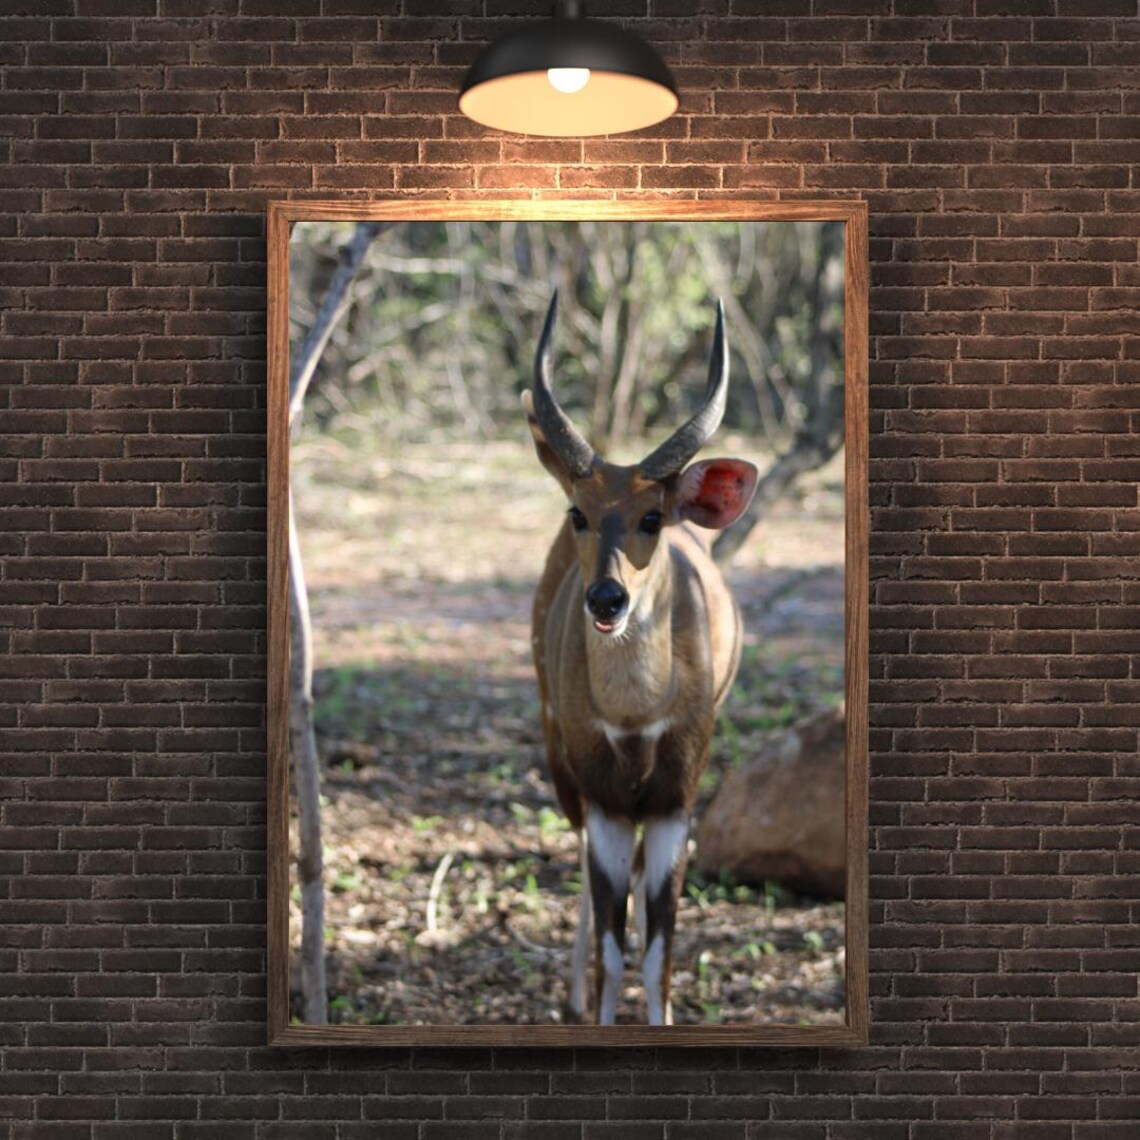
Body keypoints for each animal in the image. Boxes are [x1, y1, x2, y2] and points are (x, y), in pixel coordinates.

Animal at [524, 292, 758, 1026]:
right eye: (578, 511)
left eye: (652, 517)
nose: (607, 598)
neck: (635, 714)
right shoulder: (604, 797)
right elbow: (613, 952)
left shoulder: (674, 803)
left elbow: (657, 957)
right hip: (561, 762)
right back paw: (569, 996)